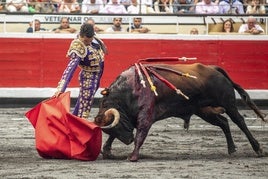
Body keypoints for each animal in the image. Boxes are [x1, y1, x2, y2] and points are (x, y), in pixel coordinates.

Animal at [93, 63, 264, 162]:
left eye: (118, 126)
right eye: (113, 128)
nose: (128, 140)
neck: (129, 89)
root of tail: (214, 69)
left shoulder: (145, 116)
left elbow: (141, 135)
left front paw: (133, 156)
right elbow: (114, 137)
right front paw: (107, 152)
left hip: (228, 103)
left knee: (239, 121)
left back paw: (258, 149)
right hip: (203, 110)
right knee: (223, 122)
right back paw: (231, 148)